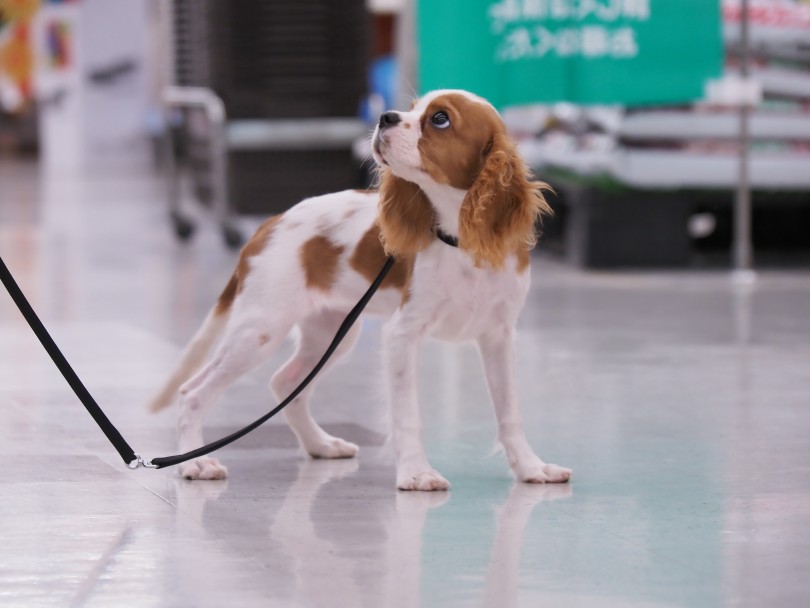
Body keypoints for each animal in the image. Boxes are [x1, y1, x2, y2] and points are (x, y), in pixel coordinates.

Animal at [150, 89, 568, 490]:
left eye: (440, 119)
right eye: (412, 108)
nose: (386, 116)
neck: (460, 241)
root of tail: (271, 222)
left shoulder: (499, 337)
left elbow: (510, 413)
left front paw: (531, 467)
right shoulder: (403, 335)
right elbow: (407, 415)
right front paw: (416, 473)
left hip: (332, 333)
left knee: (286, 383)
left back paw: (320, 445)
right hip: (260, 330)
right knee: (193, 392)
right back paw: (195, 463)